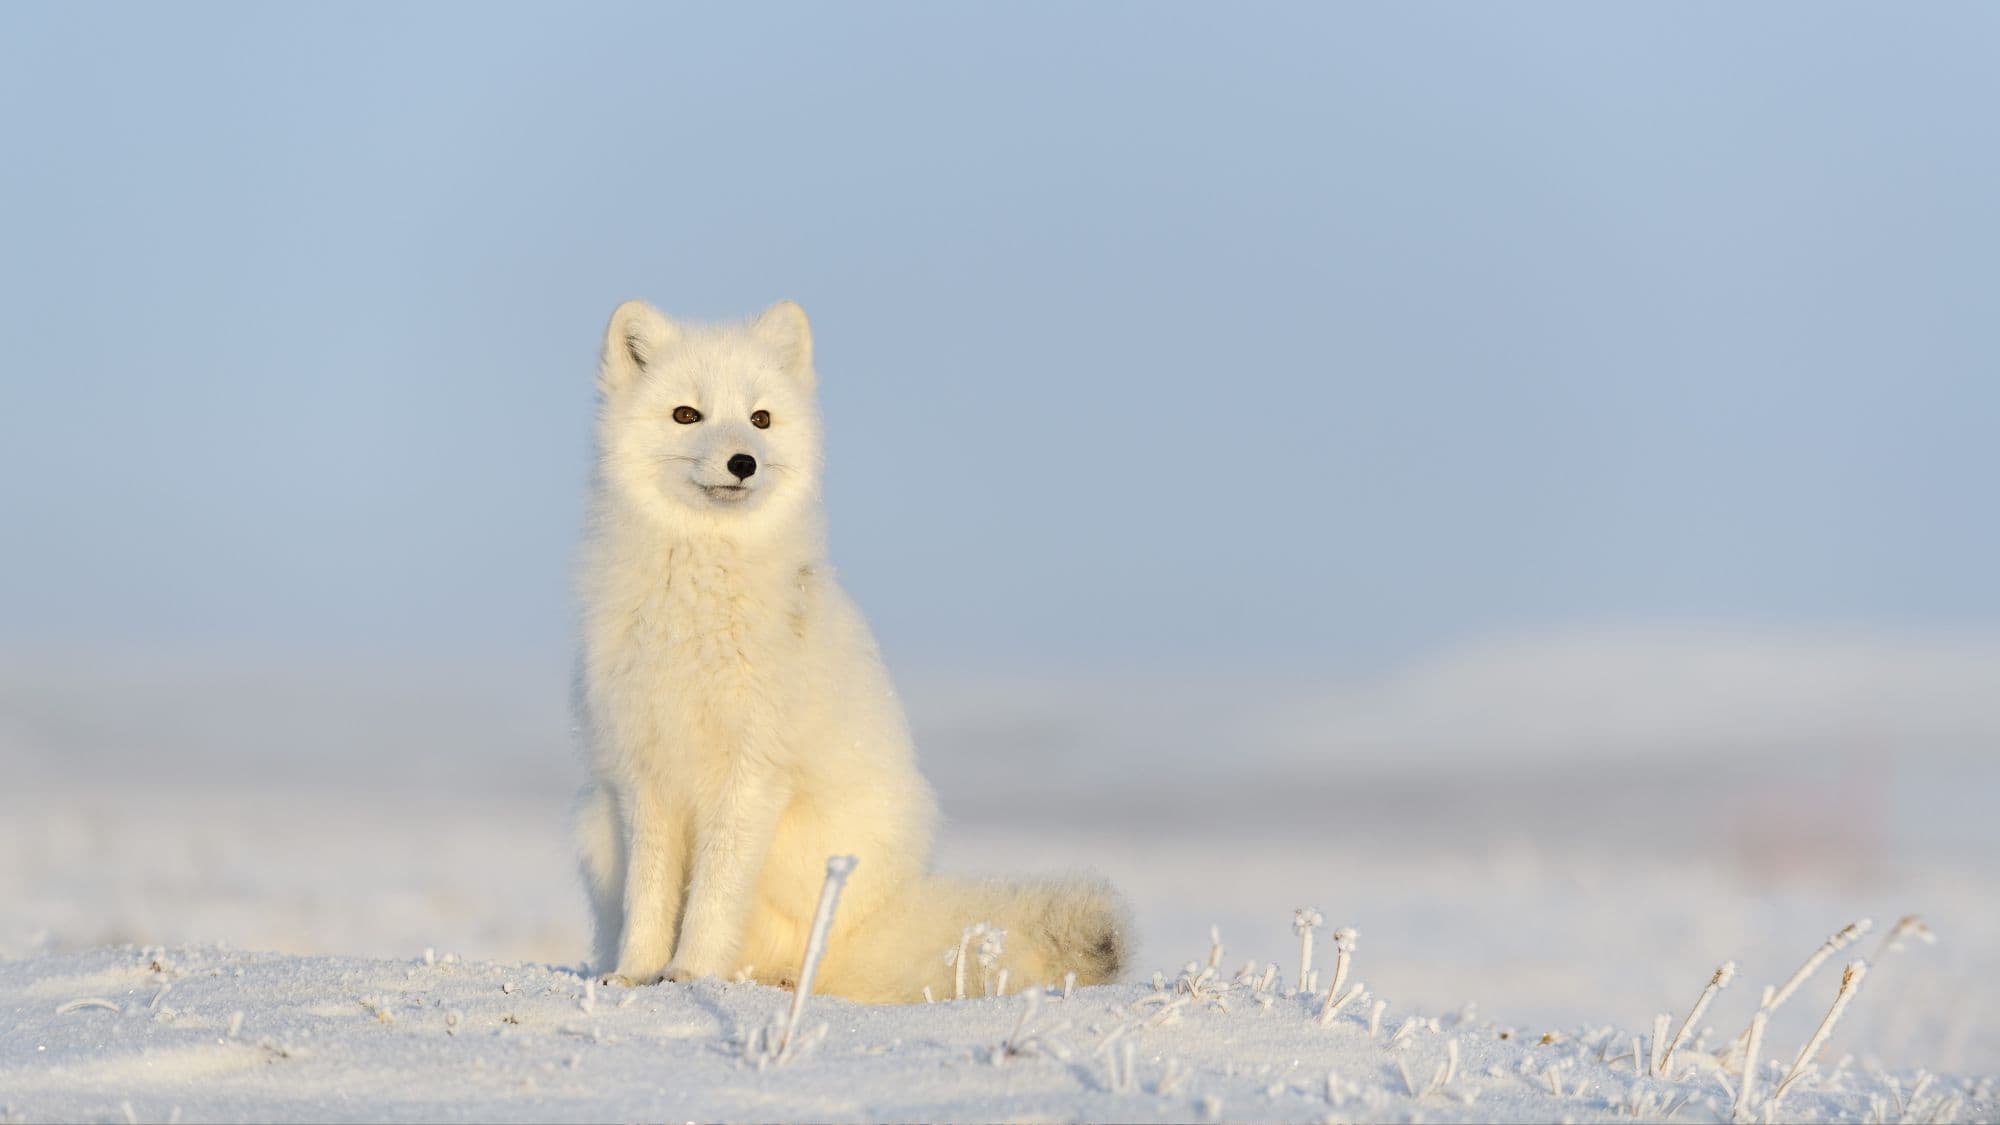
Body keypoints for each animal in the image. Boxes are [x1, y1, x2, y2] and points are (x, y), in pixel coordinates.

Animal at [571, 299, 1129, 1002]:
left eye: (760, 419)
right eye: (686, 414)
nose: (743, 462)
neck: (698, 605)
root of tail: (888, 917)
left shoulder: (753, 770)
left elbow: (714, 894)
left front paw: (691, 971)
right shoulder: (644, 771)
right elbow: (648, 895)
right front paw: (636, 972)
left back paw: (781, 980)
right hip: (594, 824)